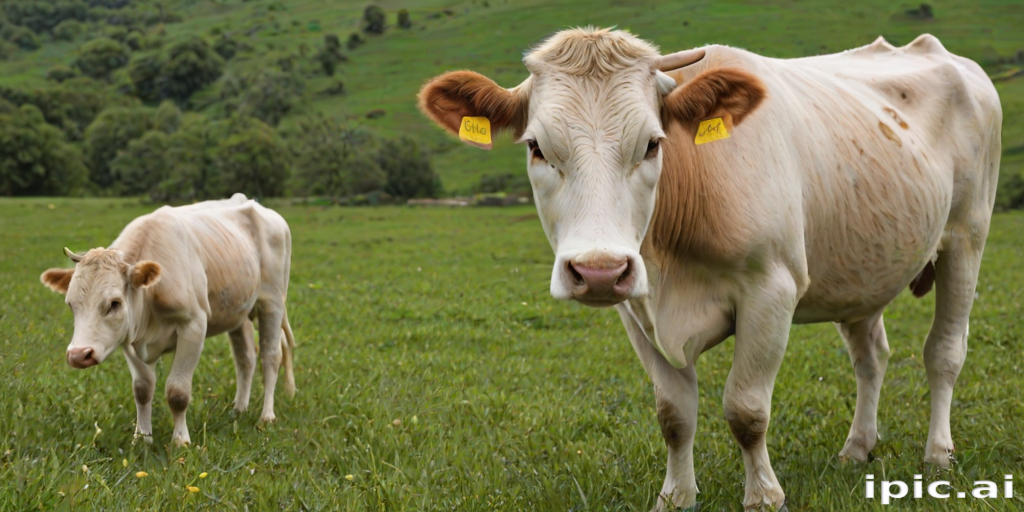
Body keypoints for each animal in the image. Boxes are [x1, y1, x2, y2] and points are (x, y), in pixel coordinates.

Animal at [40, 193, 296, 447]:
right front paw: (142, 438)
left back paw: (267, 416)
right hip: (238, 311)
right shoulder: (129, 338)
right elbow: (142, 389)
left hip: (272, 302)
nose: (78, 355)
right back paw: (239, 409)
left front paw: (180, 440)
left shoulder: (194, 326)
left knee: (271, 356)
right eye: (71, 303)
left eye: (114, 303)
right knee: (246, 359)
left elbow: (177, 392)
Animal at [418, 28, 1001, 510]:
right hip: (864, 267)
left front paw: (764, 496)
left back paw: (937, 454)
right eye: (537, 147)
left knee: (944, 353)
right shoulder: (636, 308)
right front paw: (677, 496)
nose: (600, 270)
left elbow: (746, 410)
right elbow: (674, 413)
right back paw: (857, 448)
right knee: (871, 357)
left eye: (653, 143)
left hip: (966, 238)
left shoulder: (772, 289)